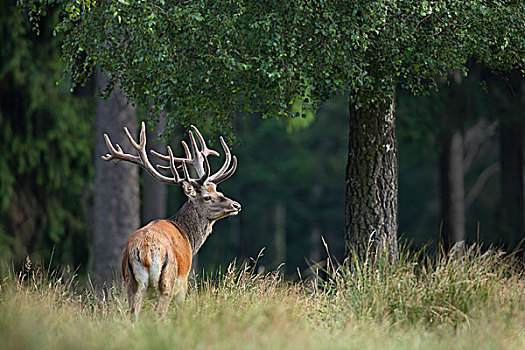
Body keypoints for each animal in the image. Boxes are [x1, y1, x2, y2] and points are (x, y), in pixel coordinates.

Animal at [101, 121, 241, 318]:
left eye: (218, 191)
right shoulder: (184, 283)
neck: (188, 238)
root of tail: (145, 250)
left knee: (133, 315)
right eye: (207, 197)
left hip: (131, 284)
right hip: (168, 281)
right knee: (159, 314)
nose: (236, 205)